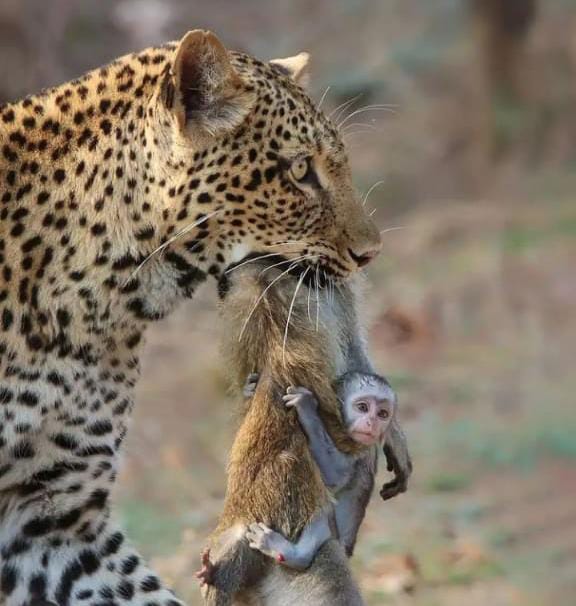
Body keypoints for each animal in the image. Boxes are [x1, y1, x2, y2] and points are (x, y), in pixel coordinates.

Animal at [242, 370, 396, 568]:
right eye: (363, 407)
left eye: (382, 414)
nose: (372, 423)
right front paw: (250, 388)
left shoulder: (361, 449)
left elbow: (334, 477)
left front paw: (306, 408)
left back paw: (292, 554)